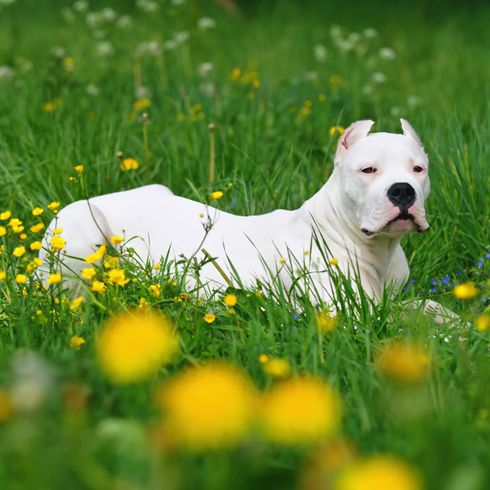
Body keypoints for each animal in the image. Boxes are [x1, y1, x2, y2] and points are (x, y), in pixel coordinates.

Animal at [40, 119, 434, 306]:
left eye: (418, 169)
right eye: (368, 170)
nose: (403, 191)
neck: (378, 248)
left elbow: (429, 308)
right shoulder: (351, 315)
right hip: (82, 234)